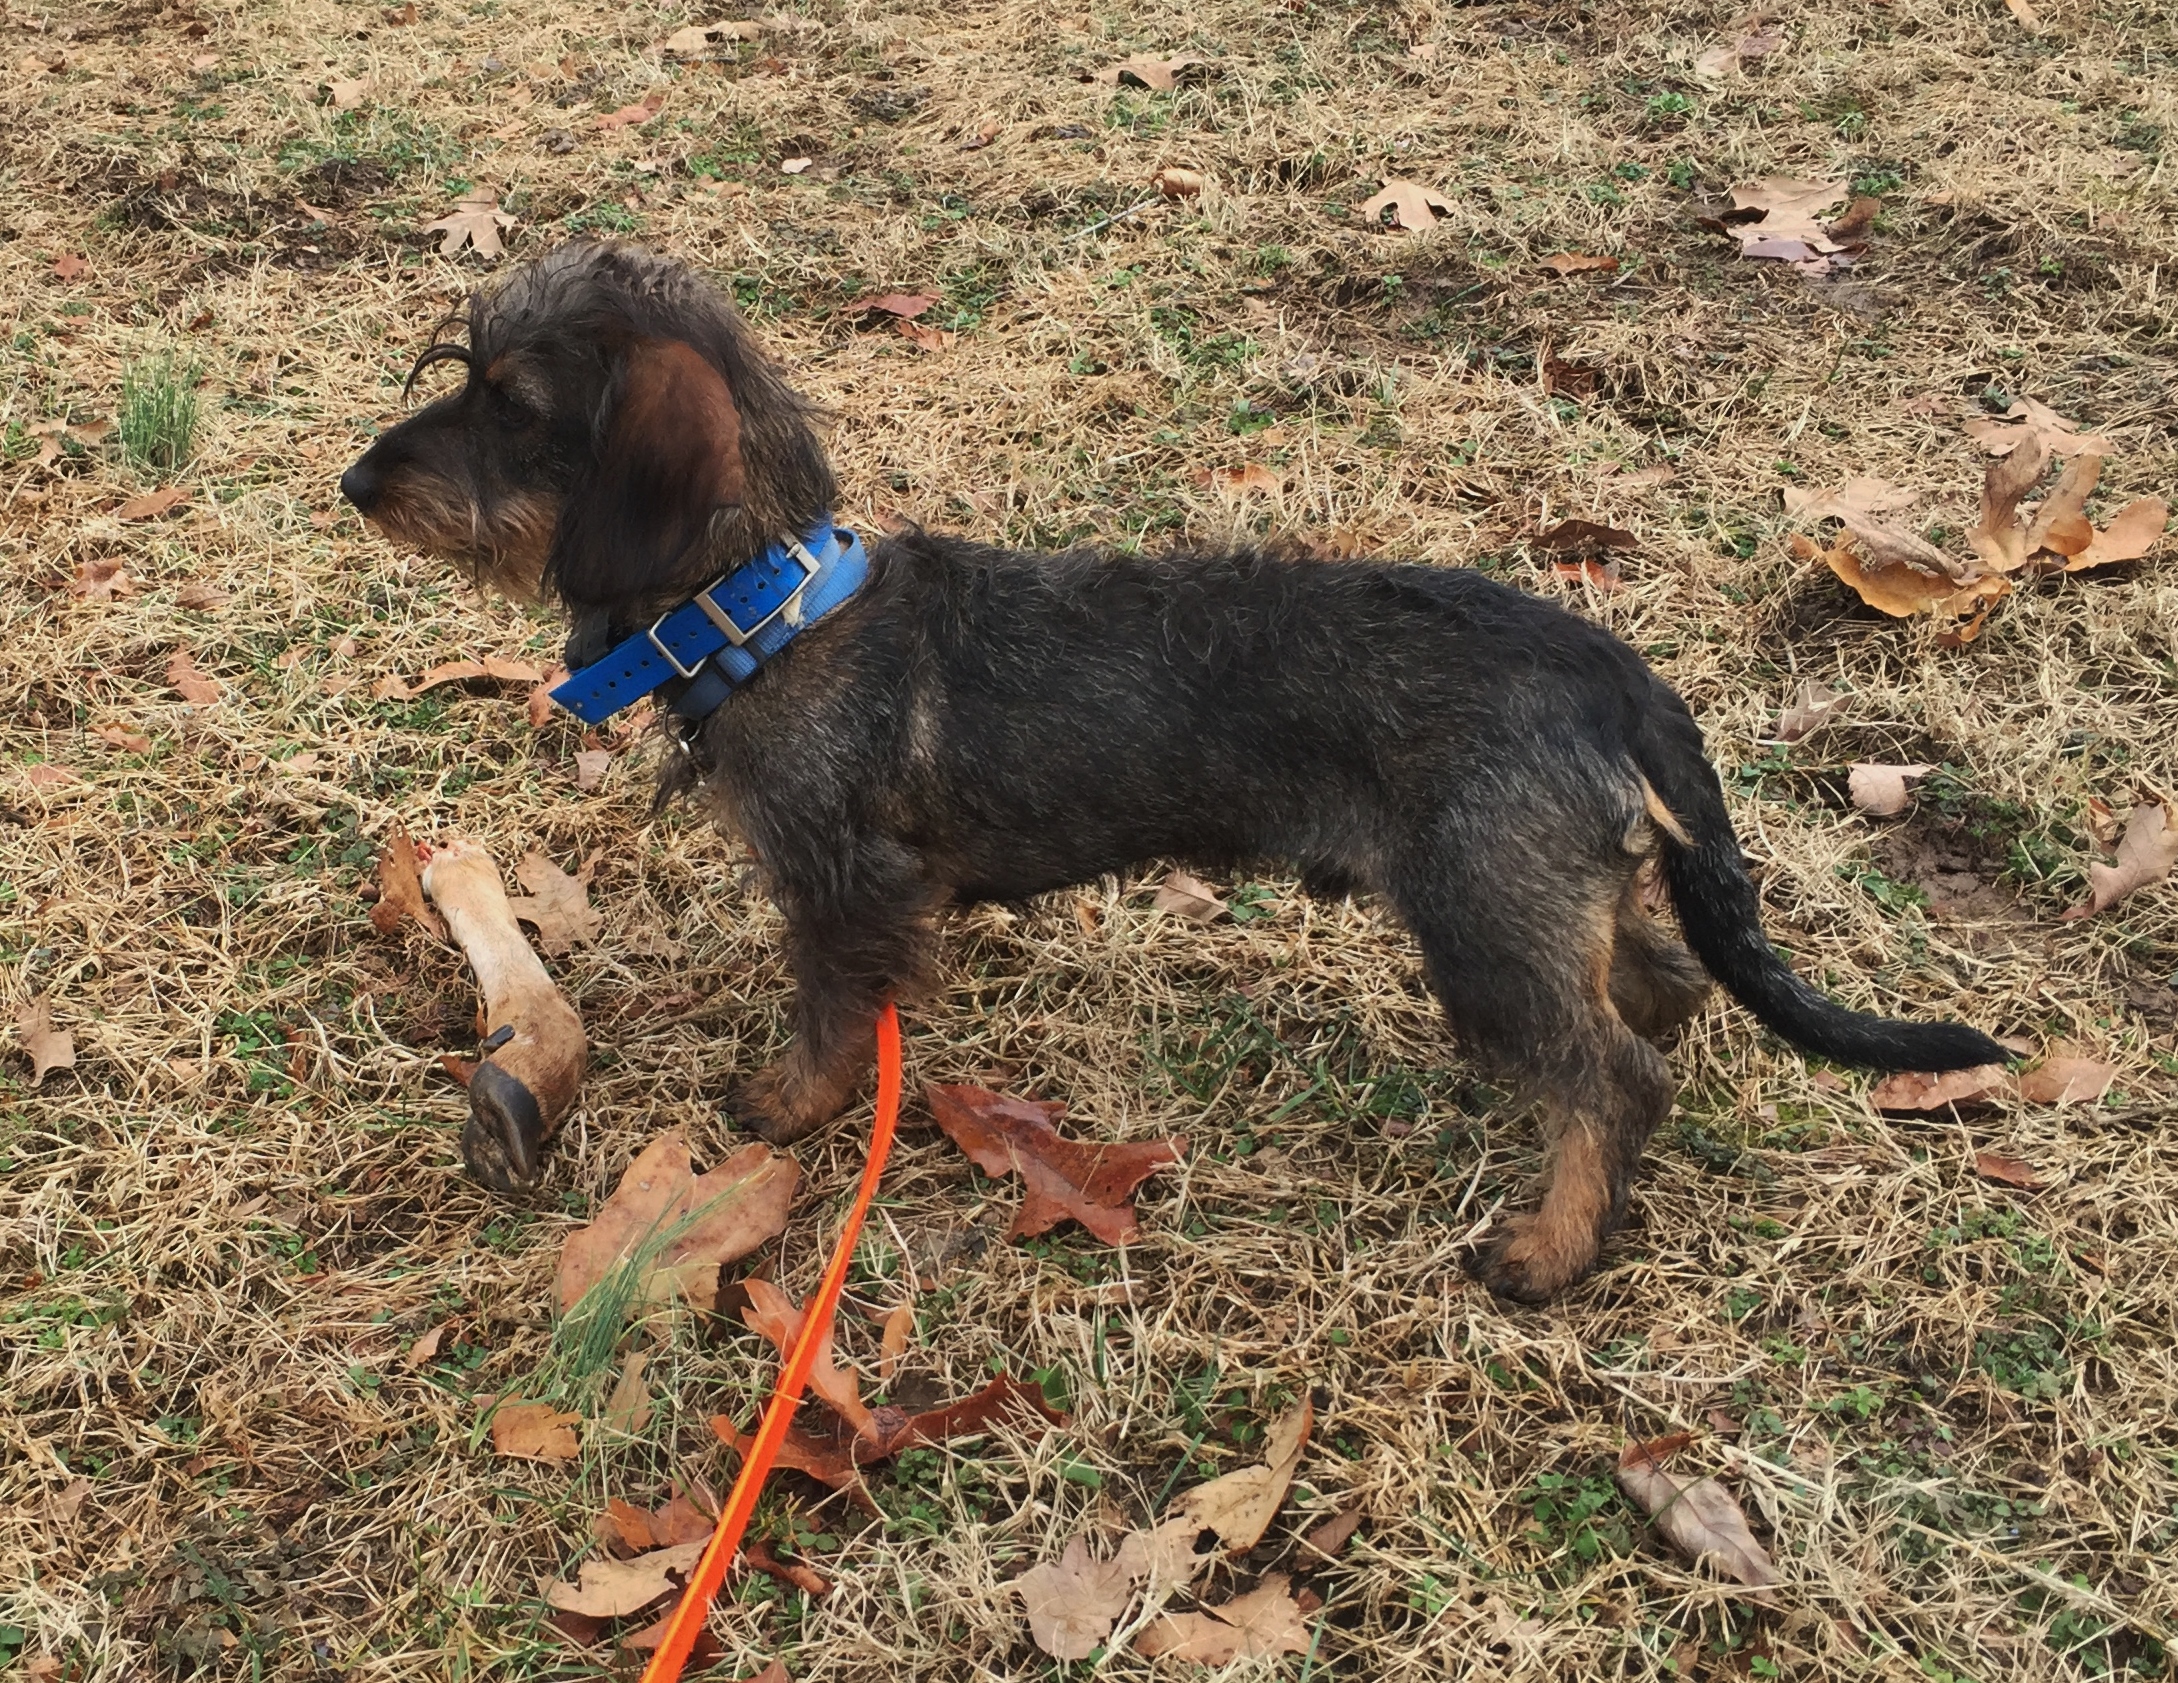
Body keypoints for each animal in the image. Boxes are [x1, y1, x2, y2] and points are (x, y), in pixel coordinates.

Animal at [344, 242, 2003, 1297]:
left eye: (514, 406)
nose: (359, 480)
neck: (776, 612)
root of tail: (1610, 671)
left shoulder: (841, 887)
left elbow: (831, 1019)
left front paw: (788, 1105)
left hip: (1475, 921)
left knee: (1617, 1068)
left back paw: (1550, 1244)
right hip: (1530, 895)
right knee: (1647, 973)